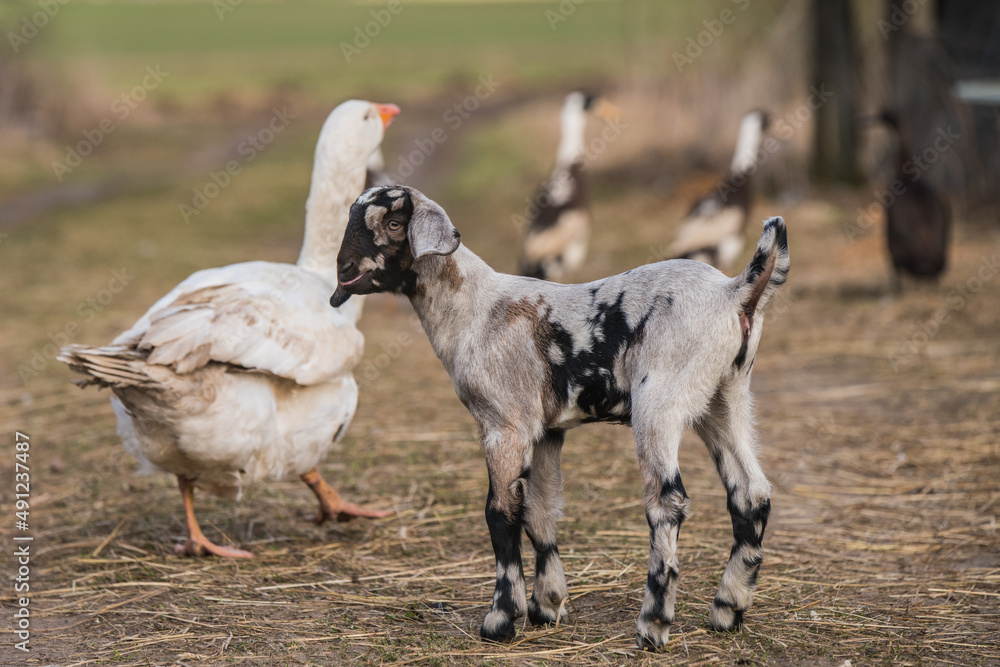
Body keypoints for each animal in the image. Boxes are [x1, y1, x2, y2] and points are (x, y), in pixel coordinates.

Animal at [330, 185, 788, 648]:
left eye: (393, 223)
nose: (343, 268)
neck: (475, 310)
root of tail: (734, 292)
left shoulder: (505, 426)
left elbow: (501, 514)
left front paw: (501, 619)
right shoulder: (545, 432)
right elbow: (540, 511)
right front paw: (547, 605)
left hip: (660, 403)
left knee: (668, 502)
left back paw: (653, 623)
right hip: (725, 400)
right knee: (751, 493)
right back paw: (727, 610)